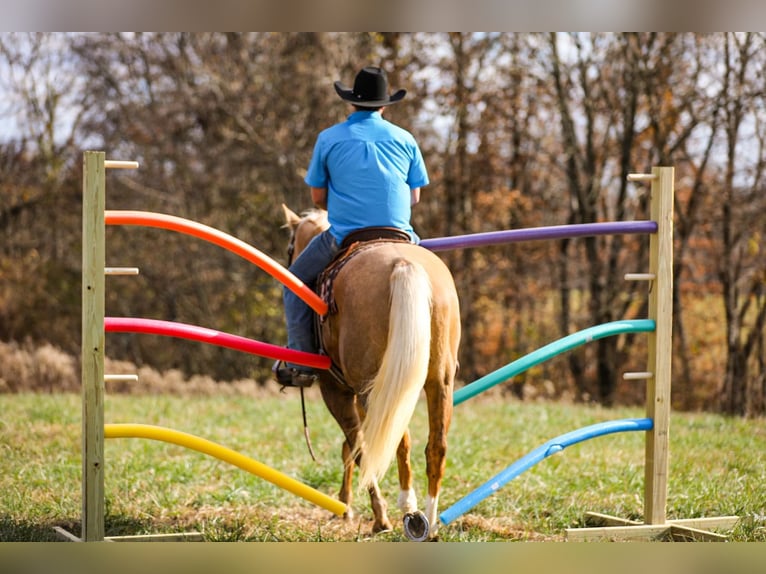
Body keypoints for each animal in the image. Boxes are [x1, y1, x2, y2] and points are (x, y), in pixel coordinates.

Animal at [282, 206, 462, 540]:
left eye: (290, 248)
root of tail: (403, 265)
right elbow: (353, 447)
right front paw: (346, 505)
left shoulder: (336, 390)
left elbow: (357, 447)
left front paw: (372, 514)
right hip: (438, 382)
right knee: (435, 445)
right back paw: (429, 520)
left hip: (372, 390)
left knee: (396, 440)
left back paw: (408, 511)